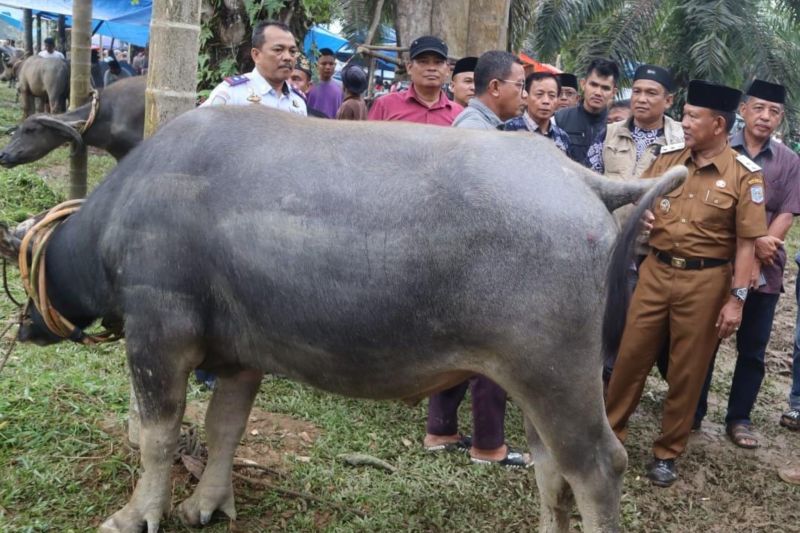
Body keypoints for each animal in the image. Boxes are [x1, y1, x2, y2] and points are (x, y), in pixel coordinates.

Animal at [0, 106, 688, 528]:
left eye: (24, 265)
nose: (26, 323)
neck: (121, 216)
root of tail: (582, 179)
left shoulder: (157, 338)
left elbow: (158, 436)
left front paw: (136, 513)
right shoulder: (241, 357)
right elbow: (224, 429)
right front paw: (207, 504)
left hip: (556, 376)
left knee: (597, 467)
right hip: (537, 382)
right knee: (552, 468)